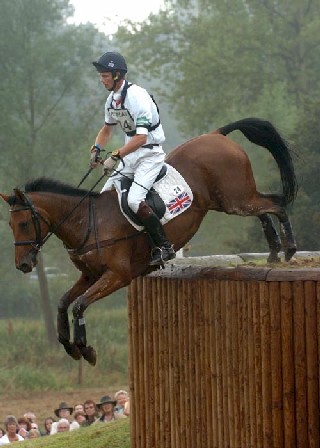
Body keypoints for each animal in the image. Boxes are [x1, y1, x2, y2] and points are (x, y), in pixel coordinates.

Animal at [1, 118, 298, 364]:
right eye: (10, 225)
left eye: (24, 223)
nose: (23, 265)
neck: (87, 222)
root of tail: (216, 134)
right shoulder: (90, 276)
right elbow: (64, 302)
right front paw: (68, 344)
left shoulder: (118, 275)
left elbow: (80, 305)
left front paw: (85, 348)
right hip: (232, 199)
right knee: (266, 209)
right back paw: (274, 251)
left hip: (235, 199)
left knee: (276, 205)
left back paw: (289, 249)